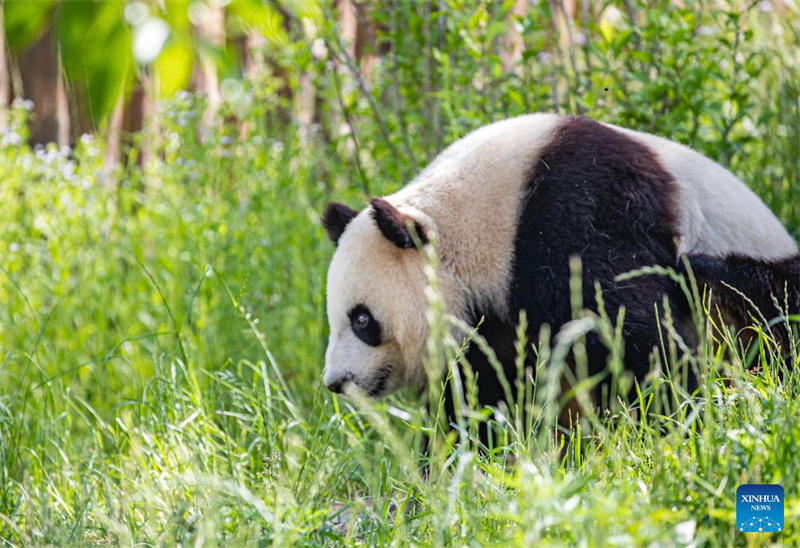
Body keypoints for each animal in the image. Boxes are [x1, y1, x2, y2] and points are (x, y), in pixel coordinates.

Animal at [319, 114, 799, 416]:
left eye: (362, 321)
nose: (335, 382)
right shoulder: (490, 316)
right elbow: (479, 387)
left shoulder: (580, 216)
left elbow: (636, 333)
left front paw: (669, 418)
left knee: (738, 302)